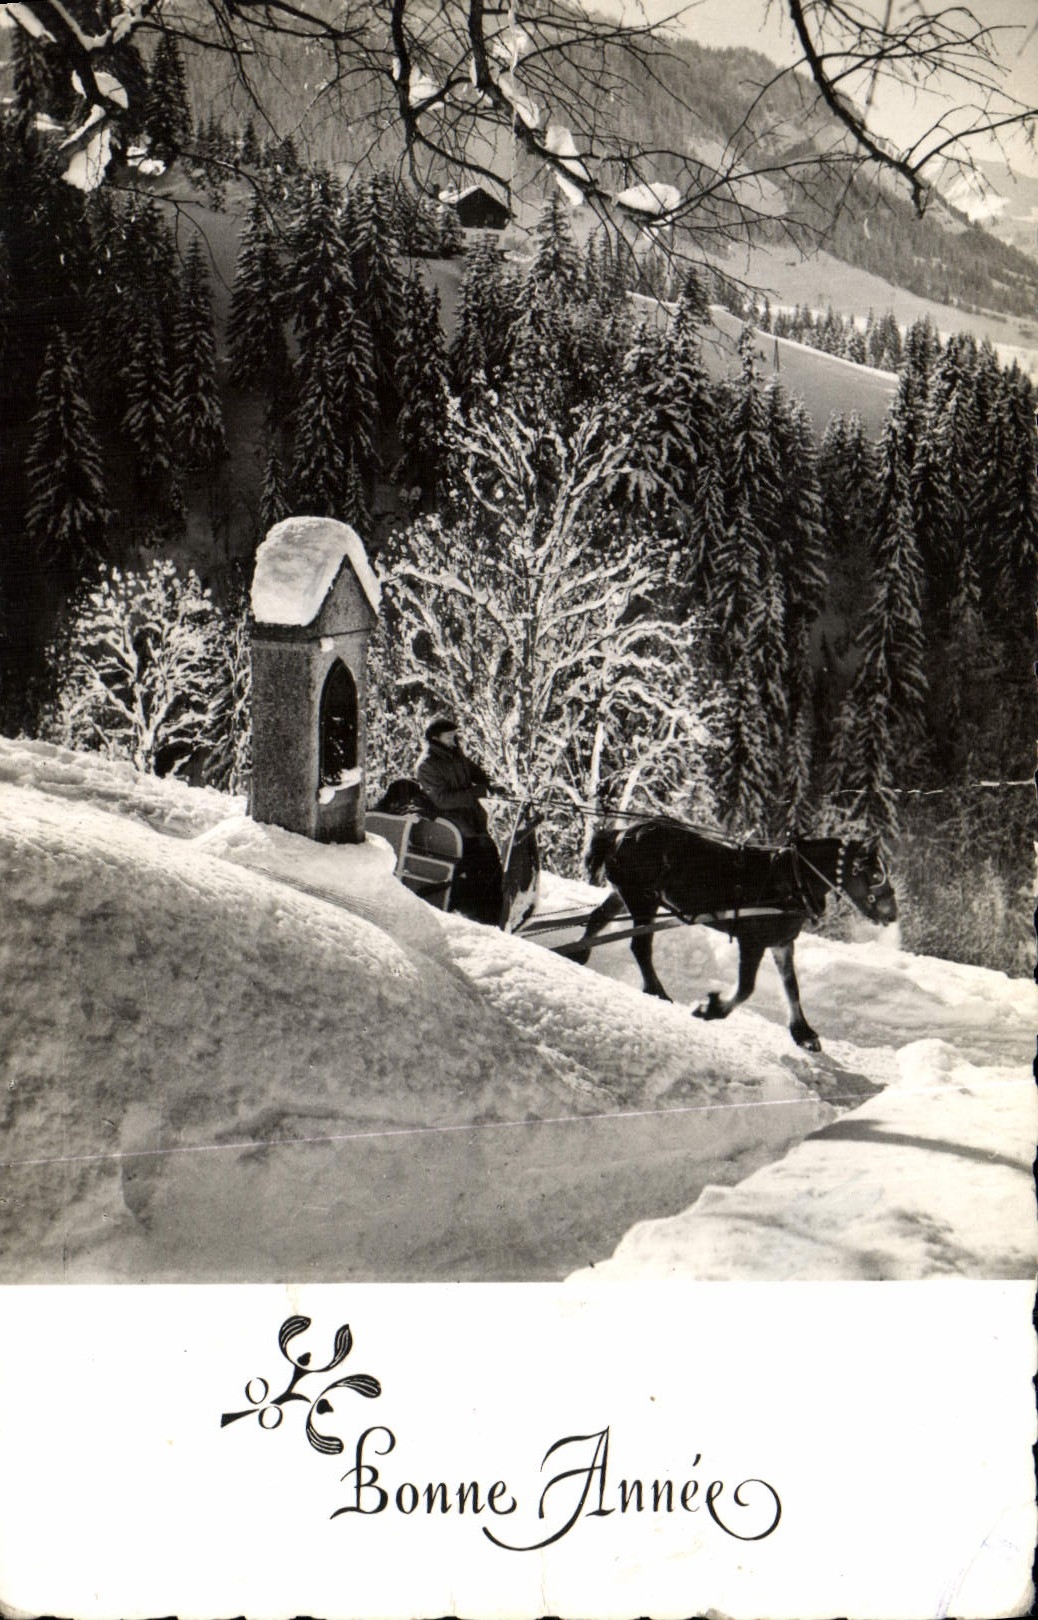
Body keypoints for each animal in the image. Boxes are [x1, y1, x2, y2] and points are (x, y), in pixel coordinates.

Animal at [572, 819, 897, 1050]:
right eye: (875, 874)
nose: (892, 914)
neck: (793, 879)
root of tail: (619, 833)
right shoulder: (752, 941)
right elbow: (746, 988)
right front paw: (710, 1009)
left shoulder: (782, 943)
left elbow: (792, 987)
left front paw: (803, 1033)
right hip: (642, 900)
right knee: (640, 946)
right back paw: (657, 991)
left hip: (624, 894)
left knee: (598, 918)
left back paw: (579, 953)